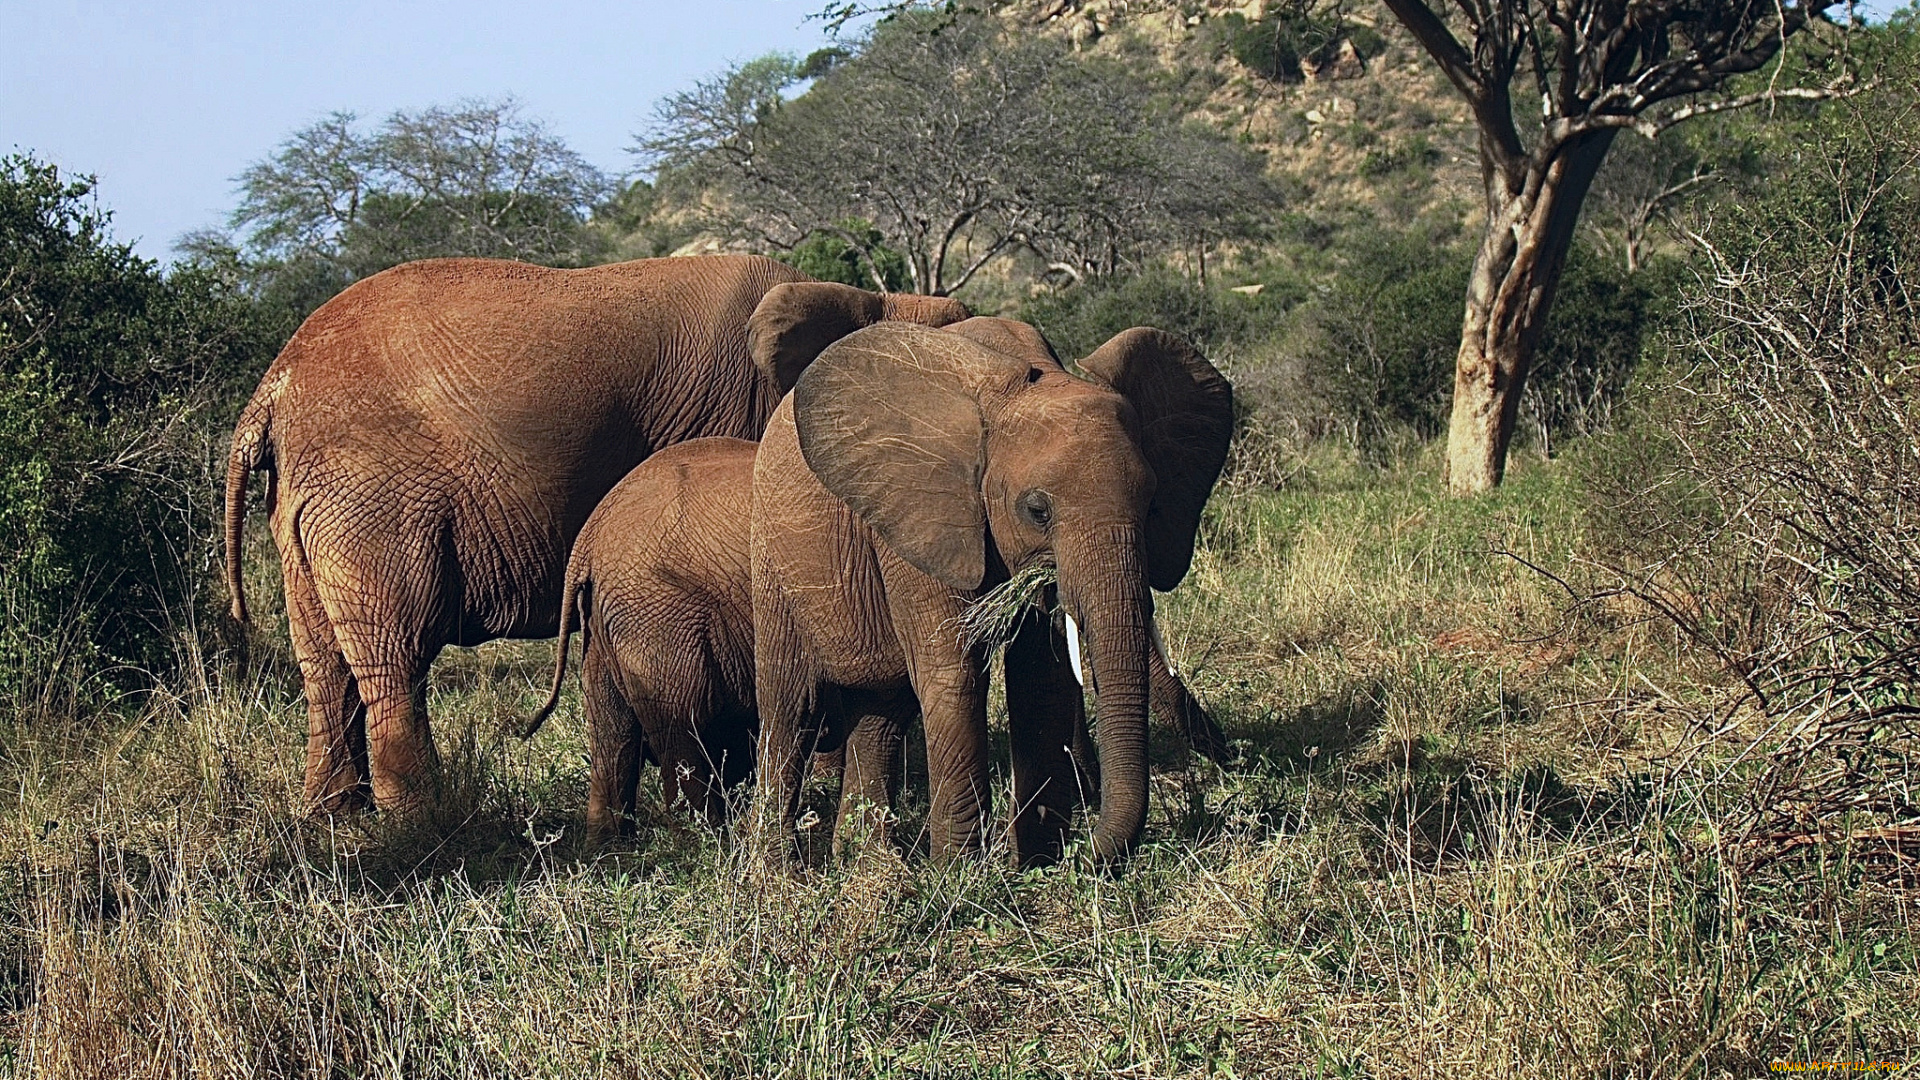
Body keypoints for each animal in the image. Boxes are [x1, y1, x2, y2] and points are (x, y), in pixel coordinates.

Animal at [220, 253, 975, 807]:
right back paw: (425, 827)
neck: (865, 301)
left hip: (305, 506)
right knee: (393, 656)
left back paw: (338, 820)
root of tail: (273, 389)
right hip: (371, 500)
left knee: (325, 663)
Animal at [748, 315, 1228, 860]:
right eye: (1037, 510)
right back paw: (780, 869)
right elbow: (953, 674)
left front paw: (1037, 862)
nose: (1089, 850)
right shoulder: (924, 517)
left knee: (880, 717)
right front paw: (957, 870)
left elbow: (1041, 678)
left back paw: (870, 862)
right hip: (772, 560)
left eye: (1151, 506)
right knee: (790, 711)